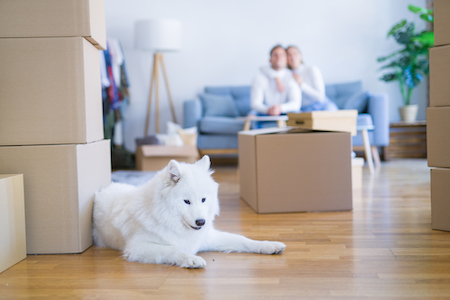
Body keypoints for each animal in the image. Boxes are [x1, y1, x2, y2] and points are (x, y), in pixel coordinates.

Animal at [93, 156, 286, 268]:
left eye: (203, 199)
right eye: (186, 201)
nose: (201, 222)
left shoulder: (208, 237)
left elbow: (242, 240)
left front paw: (269, 245)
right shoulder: (137, 247)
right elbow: (172, 249)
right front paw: (191, 259)